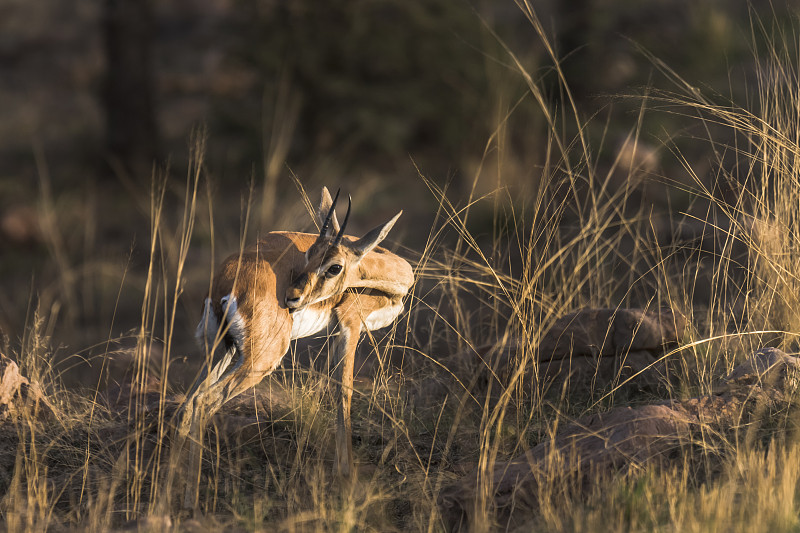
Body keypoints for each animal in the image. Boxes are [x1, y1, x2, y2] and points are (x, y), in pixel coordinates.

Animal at [175, 187, 412, 508]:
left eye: (333, 266)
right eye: (308, 255)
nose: (292, 297)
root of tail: (224, 286)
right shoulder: (350, 326)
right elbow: (344, 392)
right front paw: (347, 476)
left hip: (222, 353)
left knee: (187, 404)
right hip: (260, 359)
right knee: (204, 401)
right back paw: (191, 502)